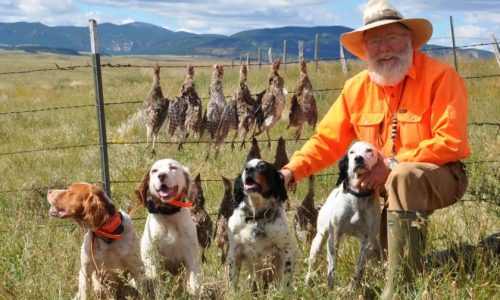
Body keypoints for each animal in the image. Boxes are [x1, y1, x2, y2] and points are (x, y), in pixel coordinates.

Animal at [137, 158, 201, 296]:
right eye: (154, 171)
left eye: (173, 167)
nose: (162, 175)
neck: (169, 216)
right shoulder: (152, 259)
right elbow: (157, 285)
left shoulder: (191, 257)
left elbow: (194, 285)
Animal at [227, 158, 296, 292]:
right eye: (245, 166)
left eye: (263, 167)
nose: (248, 169)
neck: (256, 216)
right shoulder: (234, 251)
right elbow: (232, 281)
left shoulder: (286, 248)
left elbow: (285, 278)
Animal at [304, 142, 382, 290]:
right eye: (351, 152)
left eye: (369, 150)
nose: (358, 158)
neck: (358, 197)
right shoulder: (334, 237)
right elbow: (331, 268)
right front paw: (330, 288)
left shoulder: (366, 241)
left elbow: (359, 268)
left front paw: (352, 288)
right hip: (319, 239)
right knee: (312, 264)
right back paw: (307, 280)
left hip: (374, 244)